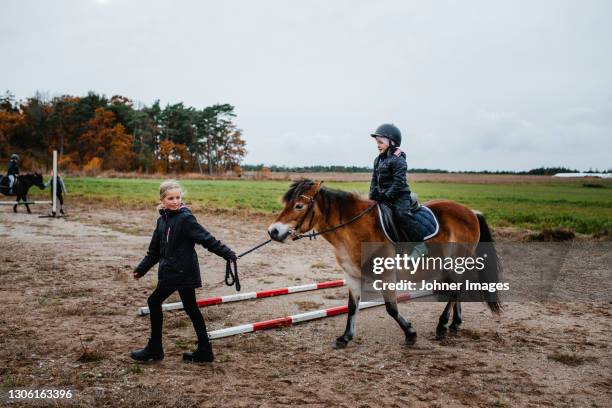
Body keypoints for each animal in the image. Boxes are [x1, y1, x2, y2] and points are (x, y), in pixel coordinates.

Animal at [268, 180, 502, 350]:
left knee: (456, 289)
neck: (356, 230)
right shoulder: (352, 276)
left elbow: (391, 308)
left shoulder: (386, 276)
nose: (273, 231)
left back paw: (442, 326)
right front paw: (345, 337)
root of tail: (471, 212)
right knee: (457, 289)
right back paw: (454, 324)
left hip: (457, 262)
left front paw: (410, 334)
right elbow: (352, 307)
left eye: (299, 206)